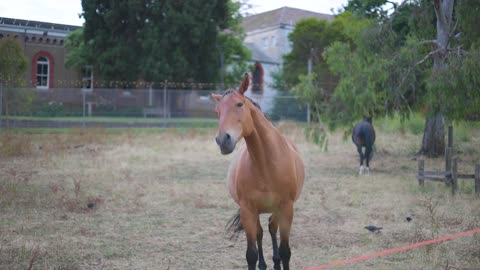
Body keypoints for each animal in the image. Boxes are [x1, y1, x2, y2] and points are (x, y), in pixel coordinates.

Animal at [211, 74, 304, 270]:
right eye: (217, 111)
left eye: (239, 104)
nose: (223, 140)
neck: (266, 165)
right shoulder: (247, 210)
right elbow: (251, 254)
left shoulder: (287, 208)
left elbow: (286, 251)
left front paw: (280, 259)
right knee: (262, 232)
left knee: (272, 228)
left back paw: (276, 262)